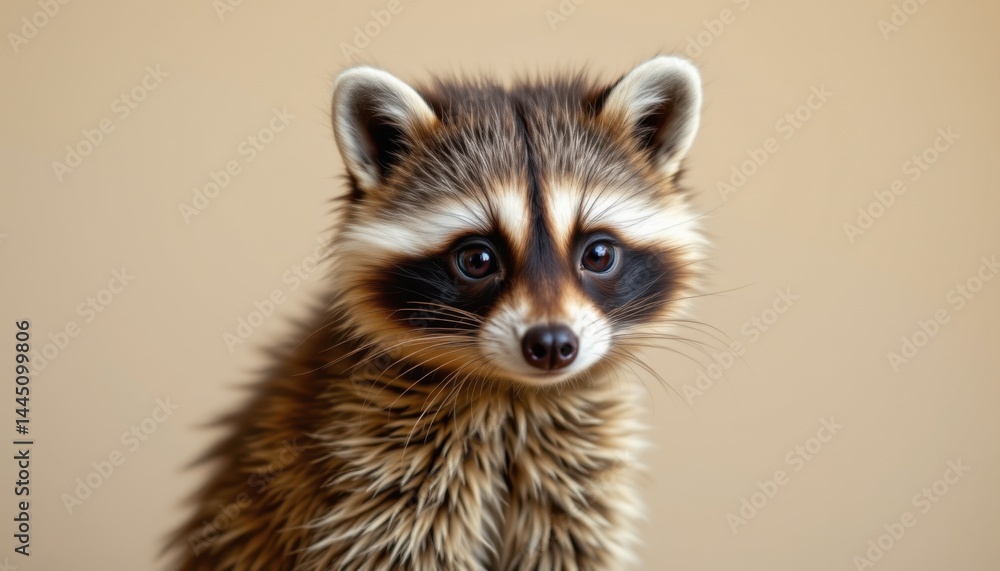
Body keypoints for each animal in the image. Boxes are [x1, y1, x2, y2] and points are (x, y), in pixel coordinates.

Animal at [170, 56, 705, 571]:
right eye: (477, 260)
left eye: (597, 255)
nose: (553, 345)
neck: (516, 395)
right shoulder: (367, 472)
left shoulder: (578, 480)